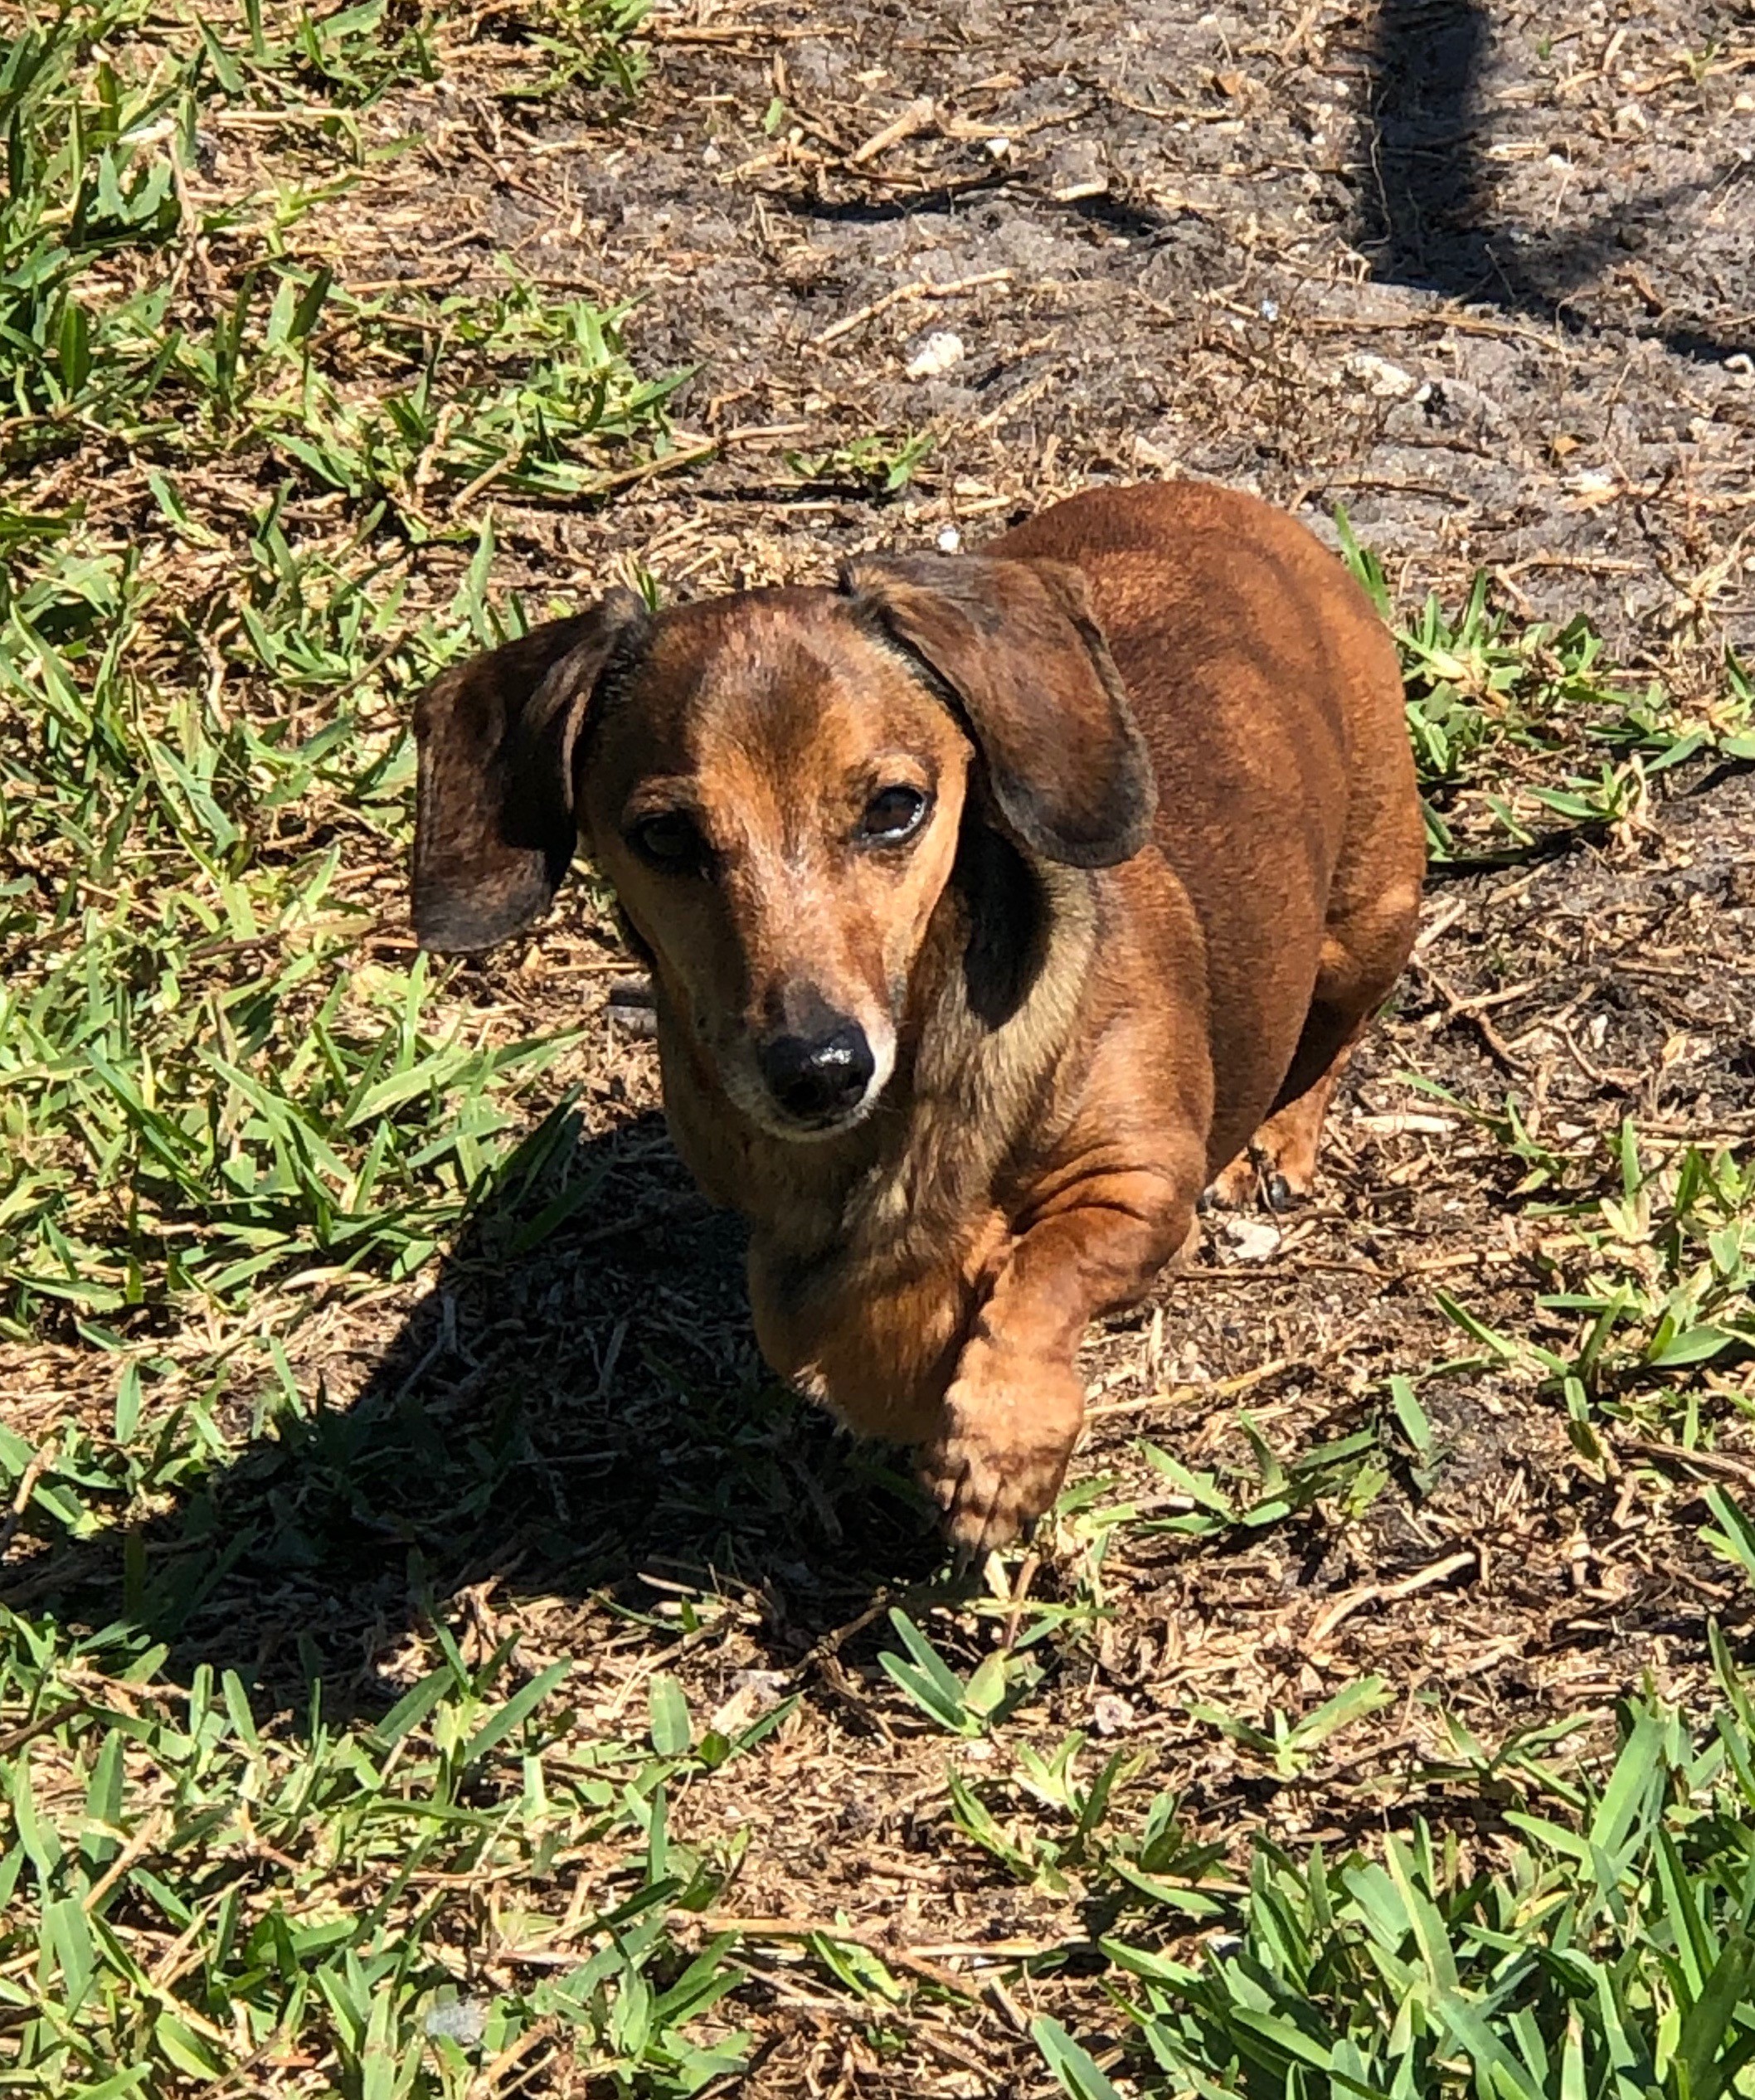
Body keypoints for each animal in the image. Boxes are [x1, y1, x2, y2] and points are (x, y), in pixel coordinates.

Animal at [411, 481, 1424, 1554]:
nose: (818, 1070)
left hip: (1367, 918)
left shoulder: (1139, 1183)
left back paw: (1276, 1140)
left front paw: (1001, 1442)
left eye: (895, 807)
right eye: (666, 839)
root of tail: (1231, 503)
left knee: (1333, 1029)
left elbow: (1045, 1270)